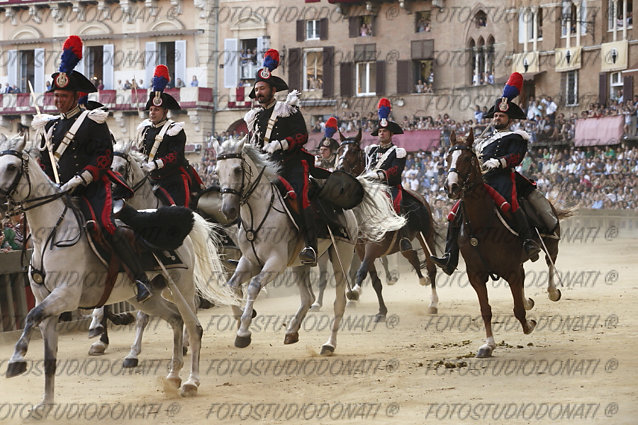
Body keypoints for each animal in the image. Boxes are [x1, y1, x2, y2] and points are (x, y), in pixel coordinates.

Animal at [0, 135, 235, 404]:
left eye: (11, 167)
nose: (0, 204)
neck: (52, 233)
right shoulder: (47, 299)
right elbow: (43, 332)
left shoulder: (66, 296)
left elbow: (31, 315)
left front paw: (18, 359)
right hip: (149, 295)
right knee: (175, 319)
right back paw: (173, 375)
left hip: (181, 286)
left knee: (194, 326)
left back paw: (191, 381)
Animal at [215, 137, 404, 352]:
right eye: (217, 171)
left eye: (238, 169)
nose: (228, 210)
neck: (259, 213)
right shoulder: (249, 261)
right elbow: (231, 286)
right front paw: (242, 317)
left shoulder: (275, 263)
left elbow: (253, 286)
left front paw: (243, 332)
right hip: (299, 264)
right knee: (308, 298)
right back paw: (292, 331)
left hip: (342, 255)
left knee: (339, 301)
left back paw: (329, 344)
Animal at [336, 127, 440, 320]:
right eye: (339, 150)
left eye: (353, 150)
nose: (338, 171)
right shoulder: (361, 249)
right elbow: (375, 280)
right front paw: (382, 312)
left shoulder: (374, 246)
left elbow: (362, 270)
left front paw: (355, 291)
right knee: (411, 255)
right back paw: (422, 279)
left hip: (426, 236)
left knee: (431, 267)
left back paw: (433, 303)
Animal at [444, 131, 568, 356]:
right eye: (448, 158)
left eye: (467, 159)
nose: (451, 186)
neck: (481, 225)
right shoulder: (476, 275)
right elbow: (485, 310)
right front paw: (488, 345)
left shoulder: (510, 270)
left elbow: (517, 310)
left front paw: (529, 325)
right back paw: (528, 301)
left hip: (551, 242)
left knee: (550, 263)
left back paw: (552, 292)